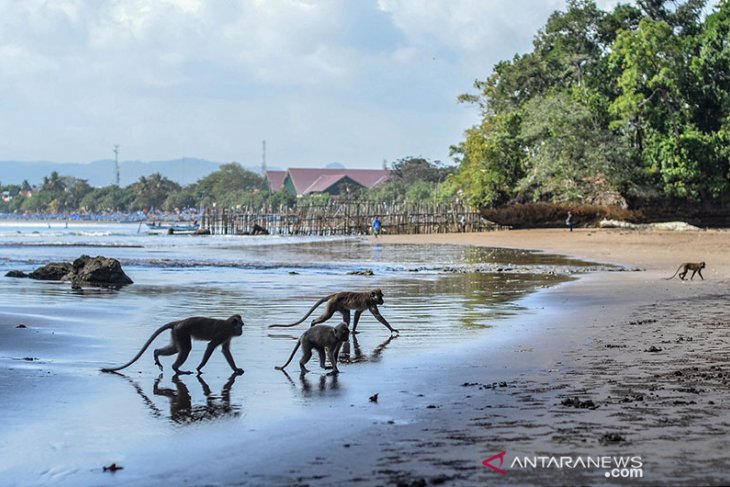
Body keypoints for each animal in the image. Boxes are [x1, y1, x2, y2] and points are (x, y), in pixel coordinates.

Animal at [99, 314, 245, 376]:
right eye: (241, 325)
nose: (242, 331)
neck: (229, 326)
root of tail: (179, 322)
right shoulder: (224, 334)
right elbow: (211, 346)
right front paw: (200, 367)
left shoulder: (227, 336)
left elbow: (225, 350)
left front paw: (235, 368)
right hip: (182, 332)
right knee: (186, 349)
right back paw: (177, 369)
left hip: (177, 333)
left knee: (176, 348)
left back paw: (157, 353)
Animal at [266, 290, 396, 336]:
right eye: (380, 296)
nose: (382, 301)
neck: (370, 296)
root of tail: (334, 295)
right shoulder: (370, 303)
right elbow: (377, 316)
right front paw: (392, 329)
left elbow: (357, 314)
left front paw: (354, 330)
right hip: (332, 304)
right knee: (326, 316)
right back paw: (313, 324)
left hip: (340, 306)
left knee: (346, 316)